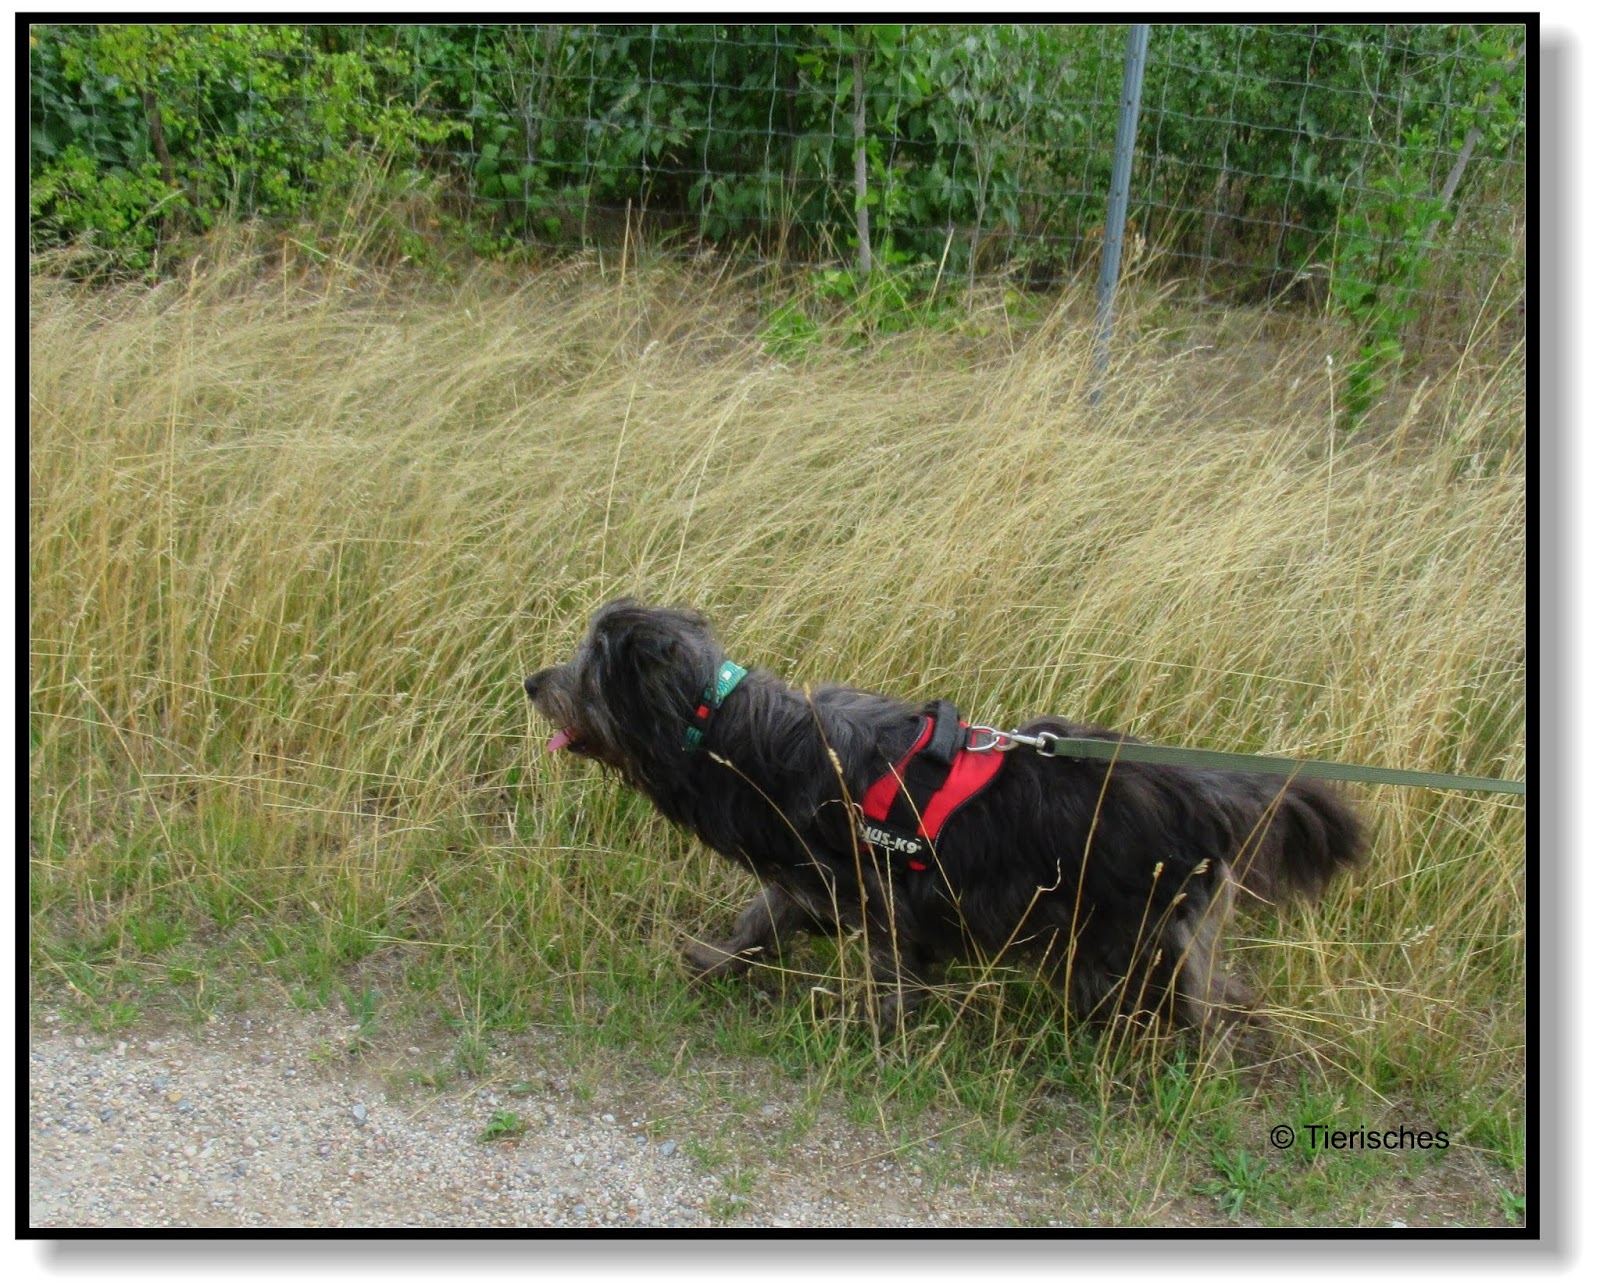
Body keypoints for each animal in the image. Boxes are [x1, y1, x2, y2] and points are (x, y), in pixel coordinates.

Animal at [524, 598, 1365, 1038]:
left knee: (1182, 988)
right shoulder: (811, 881)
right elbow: (761, 921)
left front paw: (879, 1024)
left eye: (586, 673)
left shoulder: (879, 887)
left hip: (1129, 926)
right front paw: (717, 961)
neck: (727, 728)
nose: (532, 681)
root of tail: (1204, 787)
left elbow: (887, 963)